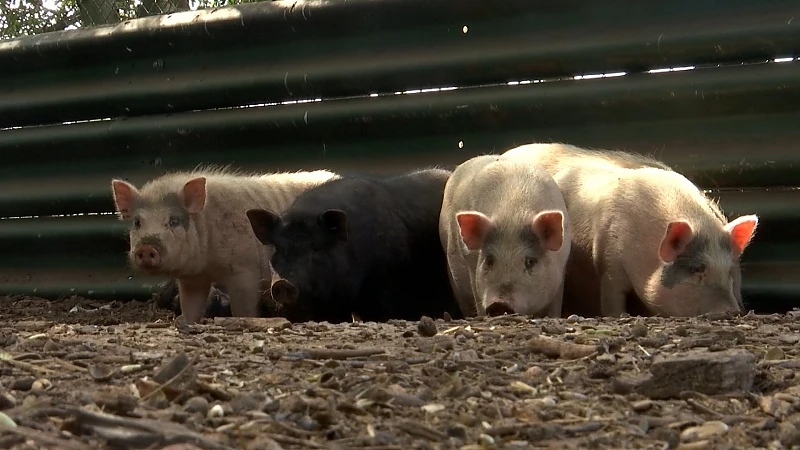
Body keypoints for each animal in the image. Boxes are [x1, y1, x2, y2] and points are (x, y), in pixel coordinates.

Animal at [108, 166, 338, 324]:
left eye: (173, 221)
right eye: (137, 222)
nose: (146, 248)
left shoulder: (245, 270)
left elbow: (244, 308)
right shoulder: (193, 278)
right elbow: (190, 305)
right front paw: (184, 322)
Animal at [552, 163, 760, 318]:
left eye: (729, 272)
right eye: (698, 269)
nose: (733, 311)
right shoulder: (609, 263)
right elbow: (613, 297)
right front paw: (619, 316)